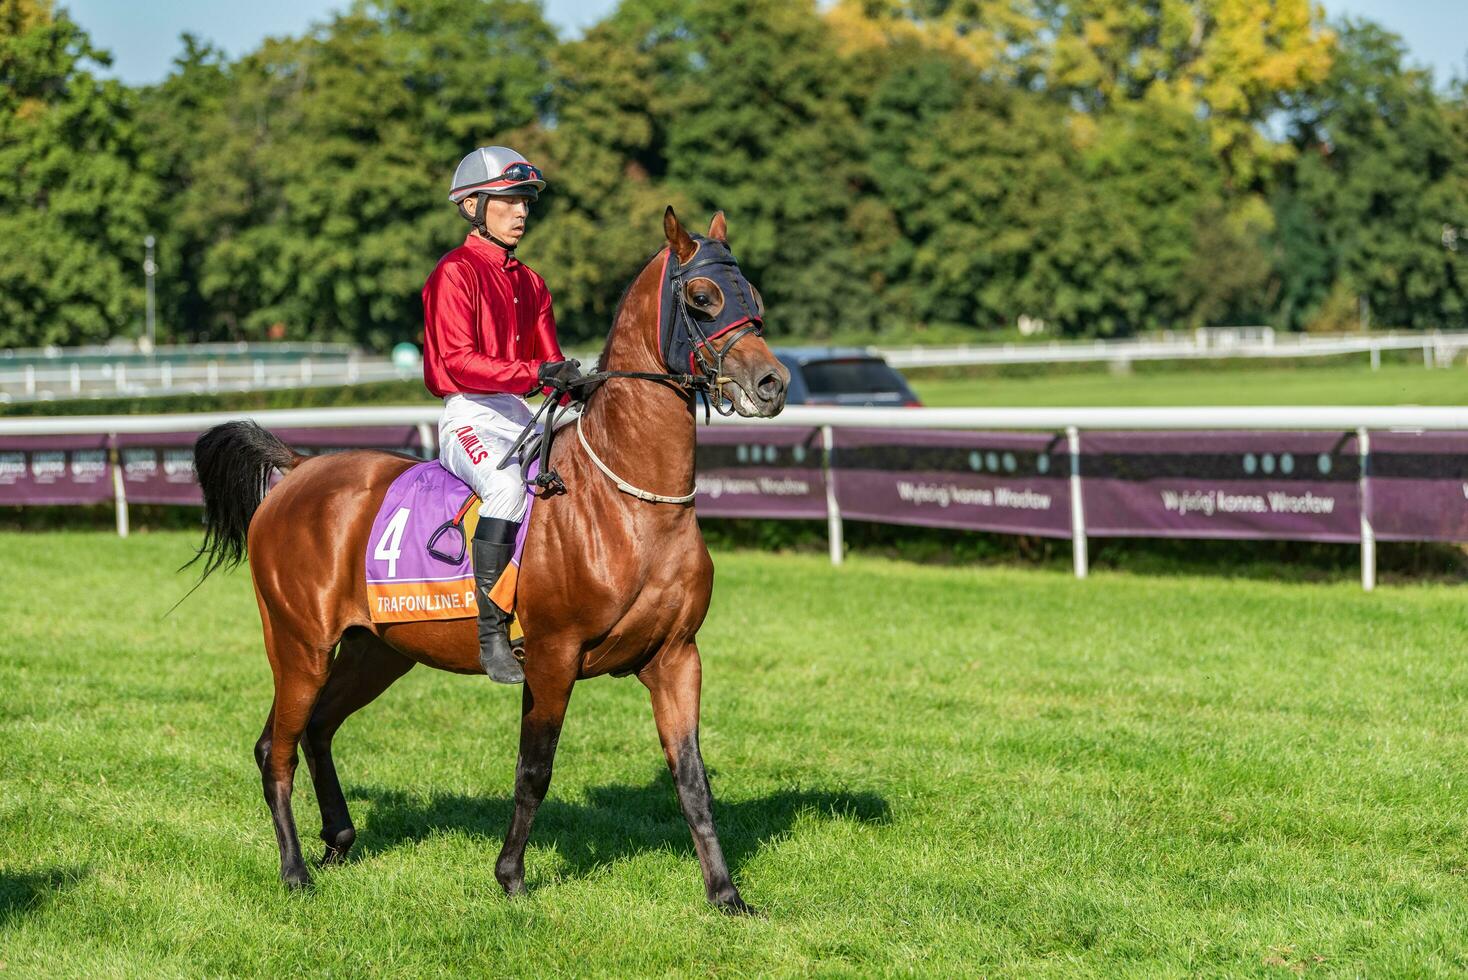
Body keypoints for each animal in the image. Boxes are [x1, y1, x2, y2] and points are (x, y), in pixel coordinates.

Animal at [195, 211, 798, 915]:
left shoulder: (677, 656)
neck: (629, 504)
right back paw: (294, 871)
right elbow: (534, 769)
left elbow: (692, 778)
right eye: (702, 297)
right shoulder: (553, 656)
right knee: (277, 747)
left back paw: (338, 841)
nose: (772, 384)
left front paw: (726, 894)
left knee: (317, 729)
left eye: (753, 297)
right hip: (300, 645)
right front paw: (511, 875)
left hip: (379, 650)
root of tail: (296, 472)